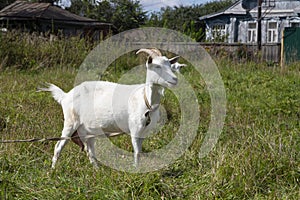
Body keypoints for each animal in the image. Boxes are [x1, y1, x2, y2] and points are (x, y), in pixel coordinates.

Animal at [39, 48, 185, 169]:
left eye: (170, 65)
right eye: (157, 66)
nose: (175, 79)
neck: (145, 99)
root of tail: (65, 96)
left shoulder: (144, 131)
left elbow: (140, 151)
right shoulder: (135, 129)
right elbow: (137, 152)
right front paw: (136, 170)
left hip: (88, 129)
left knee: (89, 150)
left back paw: (97, 171)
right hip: (70, 122)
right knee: (58, 146)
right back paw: (52, 170)